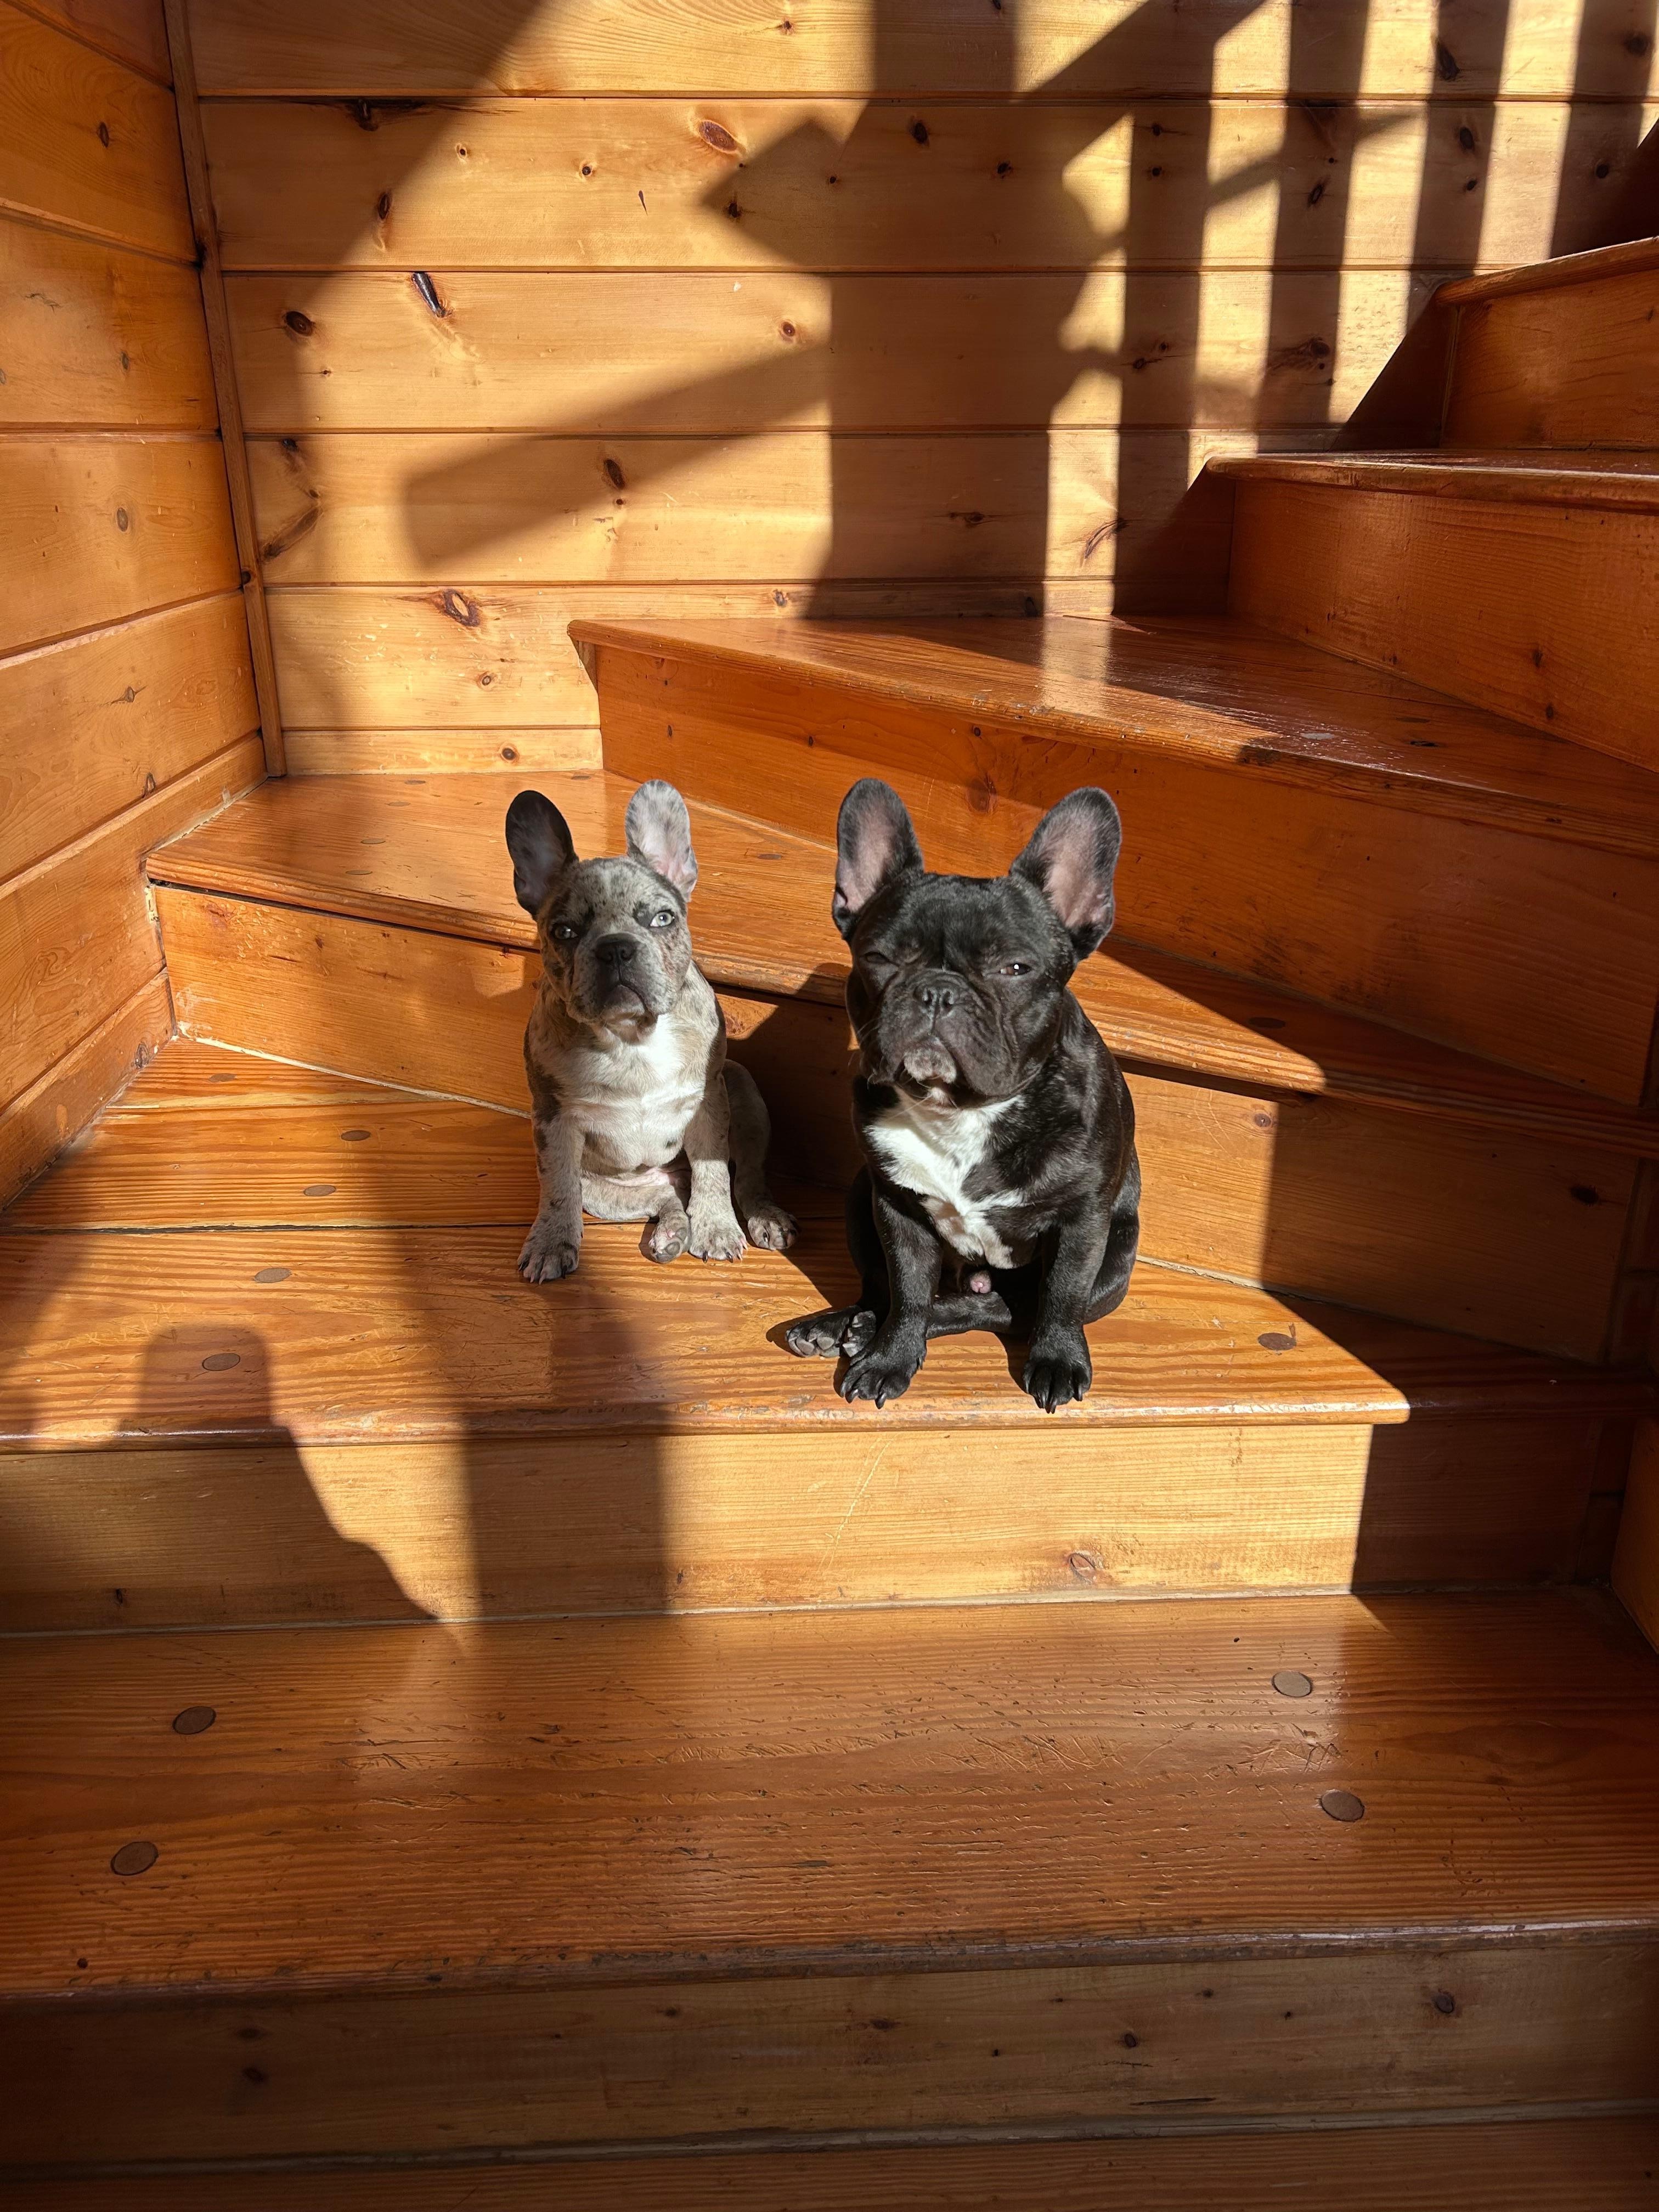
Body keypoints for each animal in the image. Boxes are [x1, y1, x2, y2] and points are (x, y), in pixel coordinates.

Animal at [505, 779, 796, 1279]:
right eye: (563, 932)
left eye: (662, 919)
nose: (616, 948)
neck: (630, 1038)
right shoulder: (553, 1119)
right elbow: (556, 1187)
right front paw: (550, 1241)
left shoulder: (709, 1102)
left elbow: (714, 1172)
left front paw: (717, 1228)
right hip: (605, 1194)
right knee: (663, 1198)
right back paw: (670, 1233)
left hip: (744, 1093)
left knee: (746, 1177)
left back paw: (763, 1217)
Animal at [786, 778, 1139, 1412]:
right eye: (878, 958)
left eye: (1014, 968)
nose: (937, 991)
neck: (964, 1111)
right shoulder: (896, 1209)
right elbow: (907, 1291)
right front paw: (890, 1355)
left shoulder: (1082, 1222)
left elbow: (1061, 1296)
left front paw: (1057, 1359)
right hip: (858, 1195)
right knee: (893, 1291)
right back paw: (846, 1324)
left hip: (1116, 1253)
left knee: (998, 1307)